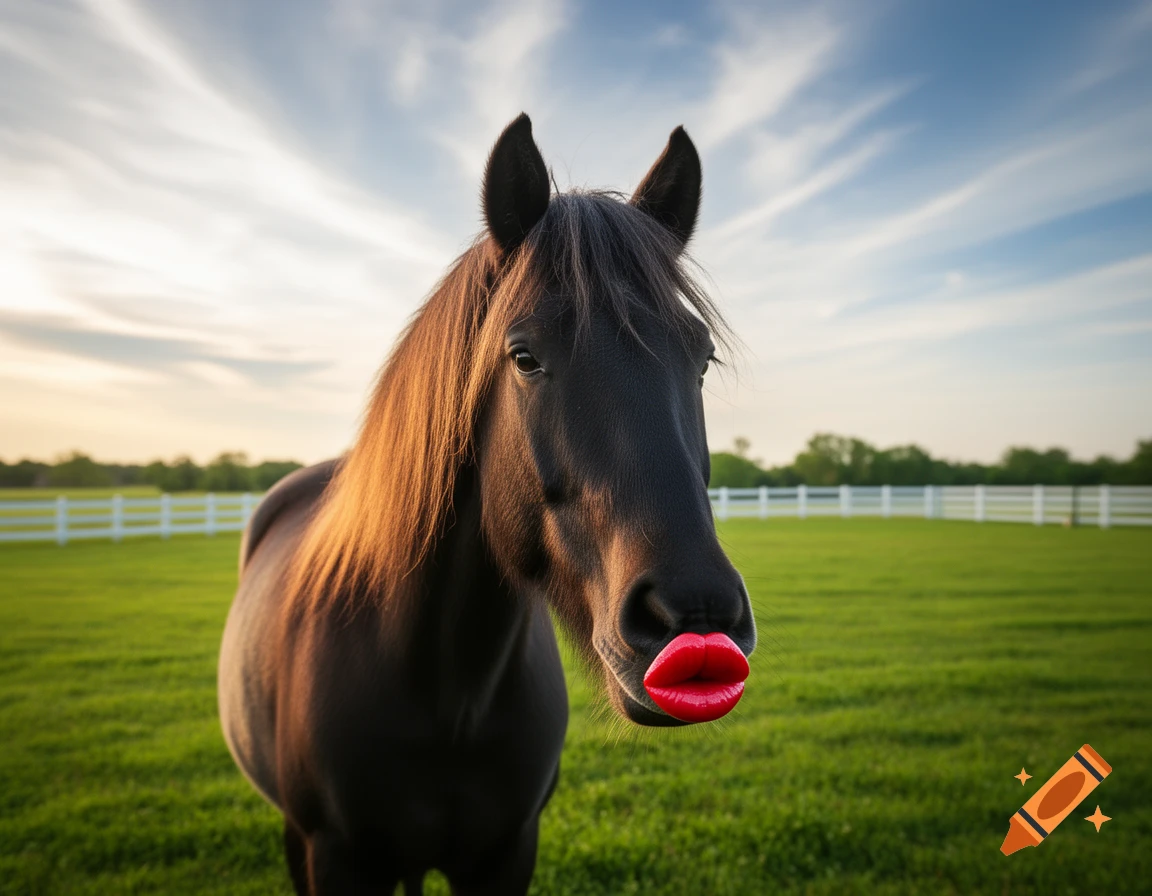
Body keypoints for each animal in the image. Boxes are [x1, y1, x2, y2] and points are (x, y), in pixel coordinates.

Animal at [218, 113, 756, 895]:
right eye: (524, 356)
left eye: (703, 357)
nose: (697, 618)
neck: (448, 693)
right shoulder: (334, 857)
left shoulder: (506, 854)